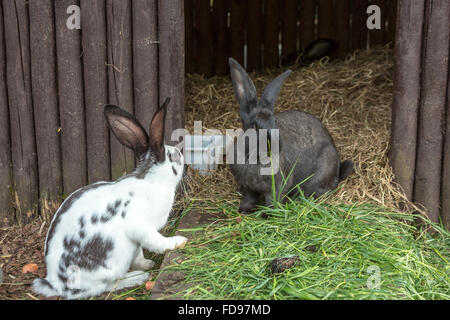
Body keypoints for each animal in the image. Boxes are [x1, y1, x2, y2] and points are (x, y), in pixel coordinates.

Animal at [229, 58, 352, 212]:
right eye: (254, 126)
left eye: (275, 122)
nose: (275, 145)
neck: (255, 159)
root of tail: (338, 171)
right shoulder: (247, 187)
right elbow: (249, 198)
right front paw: (244, 210)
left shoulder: (277, 187)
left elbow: (272, 201)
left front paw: (268, 214)